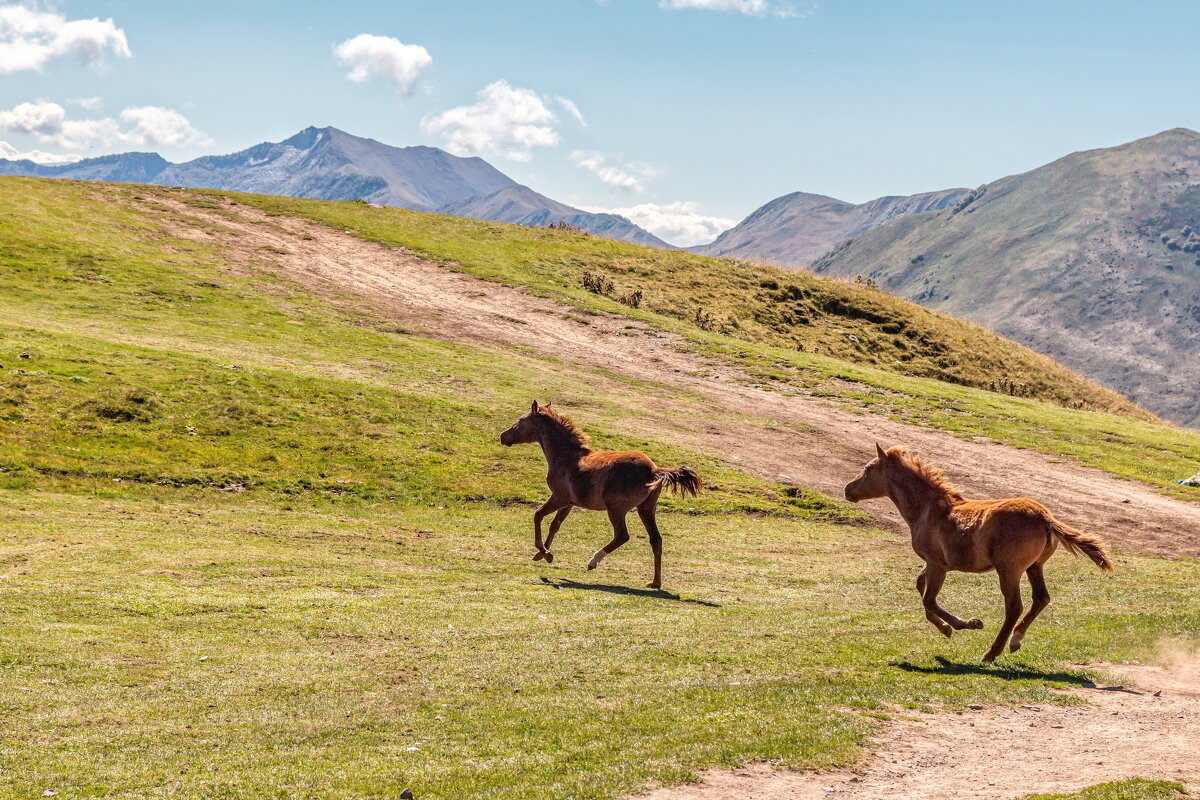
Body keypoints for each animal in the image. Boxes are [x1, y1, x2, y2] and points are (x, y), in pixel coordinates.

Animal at [499, 400, 700, 587]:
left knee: (622, 536)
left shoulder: (559, 497)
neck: (567, 458)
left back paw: (593, 561)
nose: (502, 436)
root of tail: (654, 470)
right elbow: (555, 525)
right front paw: (541, 555)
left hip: (616, 509)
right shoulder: (569, 503)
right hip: (646, 509)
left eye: (520, 421)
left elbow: (538, 515)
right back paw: (655, 582)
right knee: (656, 540)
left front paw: (546, 554)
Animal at [844, 443, 1113, 662]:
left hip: (1009, 571)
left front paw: (966, 624)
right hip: (1034, 567)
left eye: (868, 469)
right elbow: (920, 587)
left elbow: (928, 599)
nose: (848, 489)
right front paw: (946, 628)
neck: (928, 510)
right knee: (1041, 599)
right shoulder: (933, 564)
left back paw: (992, 652)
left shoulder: (937, 565)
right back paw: (1015, 641)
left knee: (1014, 607)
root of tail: (1045, 518)